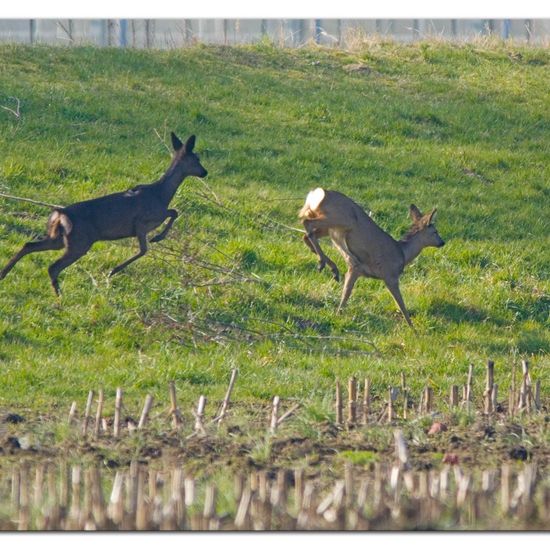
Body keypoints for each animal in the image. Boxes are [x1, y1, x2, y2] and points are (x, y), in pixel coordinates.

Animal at [0, 133, 207, 298]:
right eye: (196, 158)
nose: (205, 172)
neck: (161, 194)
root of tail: (60, 214)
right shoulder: (142, 222)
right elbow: (150, 241)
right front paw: (116, 269)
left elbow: (170, 216)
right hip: (80, 242)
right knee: (53, 266)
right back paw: (60, 297)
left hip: (58, 238)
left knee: (29, 245)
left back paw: (4, 274)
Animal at [300, 190, 446, 328]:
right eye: (435, 232)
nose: (442, 242)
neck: (402, 254)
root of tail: (317, 194)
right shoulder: (390, 275)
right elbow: (401, 305)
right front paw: (413, 329)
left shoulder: (355, 269)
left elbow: (346, 291)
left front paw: (338, 313)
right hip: (342, 219)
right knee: (306, 223)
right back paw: (325, 263)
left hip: (331, 226)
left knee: (307, 235)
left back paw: (329, 265)